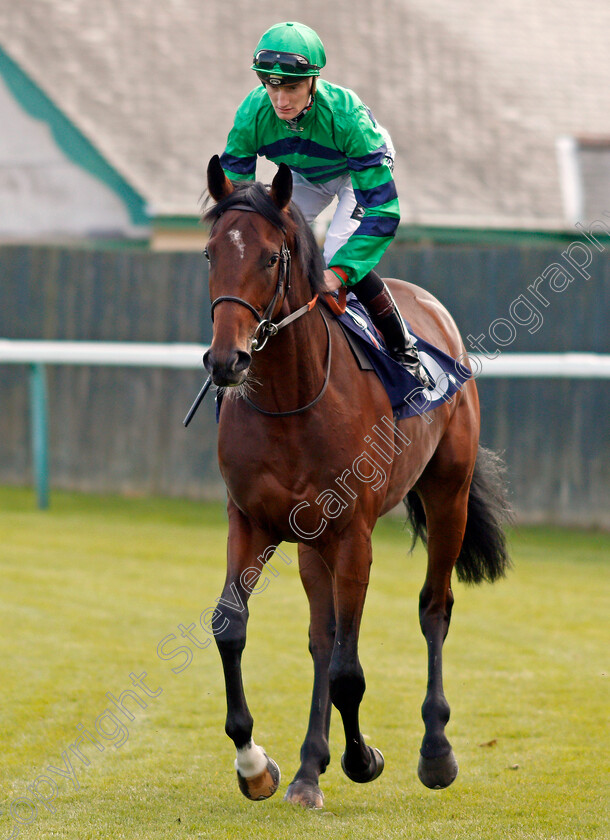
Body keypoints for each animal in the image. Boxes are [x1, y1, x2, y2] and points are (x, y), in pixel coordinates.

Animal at [201, 156, 508, 808]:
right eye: (211, 253)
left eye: (271, 257)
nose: (226, 361)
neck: (291, 400)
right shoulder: (253, 520)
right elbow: (230, 629)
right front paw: (256, 764)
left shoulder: (353, 534)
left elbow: (350, 670)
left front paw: (364, 758)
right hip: (311, 542)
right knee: (323, 636)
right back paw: (308, 769)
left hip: (448, 495)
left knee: (434, 608)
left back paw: (435, 750)